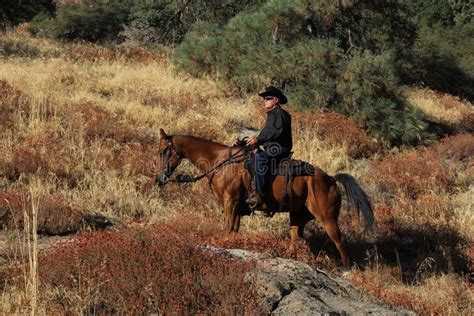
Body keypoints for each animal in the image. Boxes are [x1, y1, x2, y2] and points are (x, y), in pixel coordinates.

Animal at [156, 128, 374, 266]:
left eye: (163, 151)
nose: (159, 178)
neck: (220, 161)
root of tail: (331, 179)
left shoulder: (230, 202)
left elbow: (227, 228)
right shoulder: (236, 206)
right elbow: (234, 230)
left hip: (327, 217)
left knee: (339, 240)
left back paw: (345, 269)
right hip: (298, 216)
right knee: (296, 240)